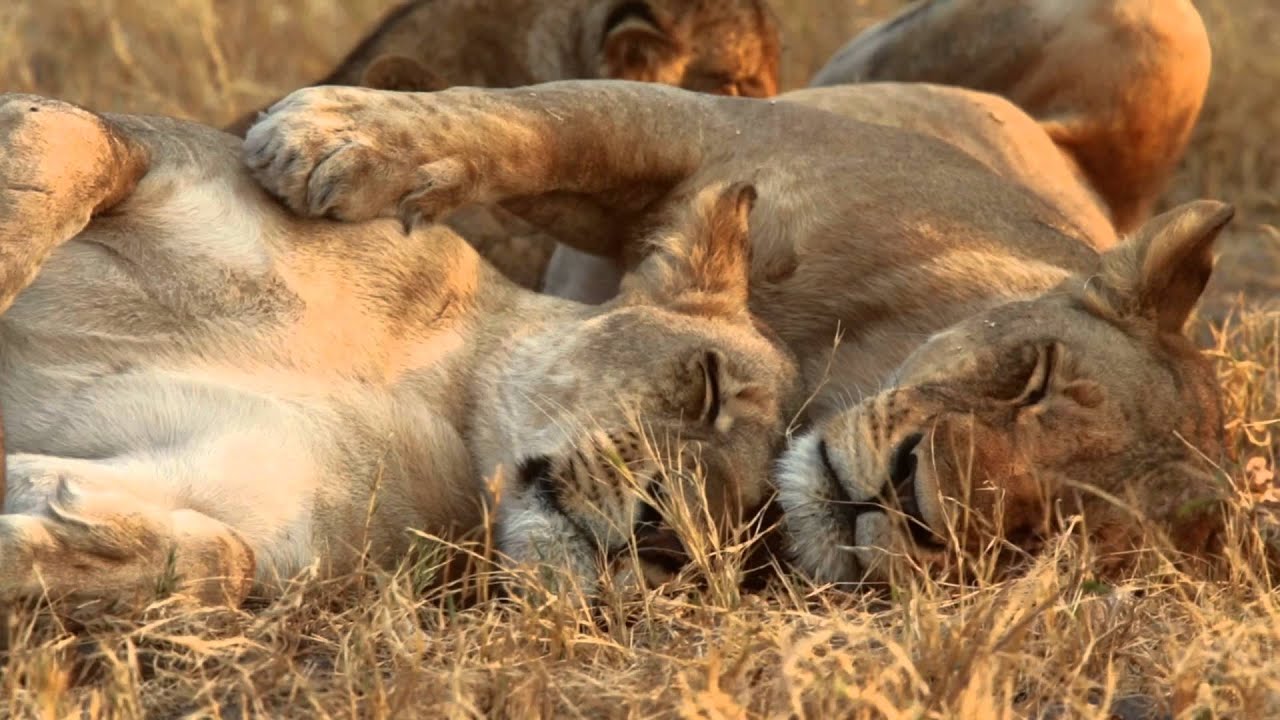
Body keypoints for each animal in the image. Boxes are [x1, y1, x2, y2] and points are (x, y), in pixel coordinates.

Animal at [0, 95, 800, 608]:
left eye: (747, 535)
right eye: (709, 385)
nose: (671, 548)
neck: (430, 389)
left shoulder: (267, 513)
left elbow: (222, 564)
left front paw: (50, 550)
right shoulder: (153, 151)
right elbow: (67, 157)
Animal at [243, 0, 1234, 586]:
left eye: (1045, 532)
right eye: (1035, 375)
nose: (912, 497)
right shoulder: (721, 133)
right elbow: (539, 118)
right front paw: (341, 135)